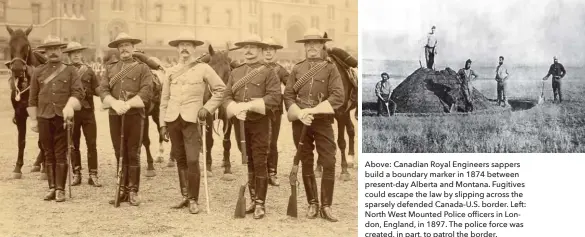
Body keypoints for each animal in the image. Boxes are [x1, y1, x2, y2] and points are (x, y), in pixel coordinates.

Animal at [4, 25, 47, 179]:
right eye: (10, 44)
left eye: (26, 45)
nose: (17, 69)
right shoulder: (20, 114)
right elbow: (21, 141)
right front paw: (17, 168)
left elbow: (42, 141)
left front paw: (46, 169)